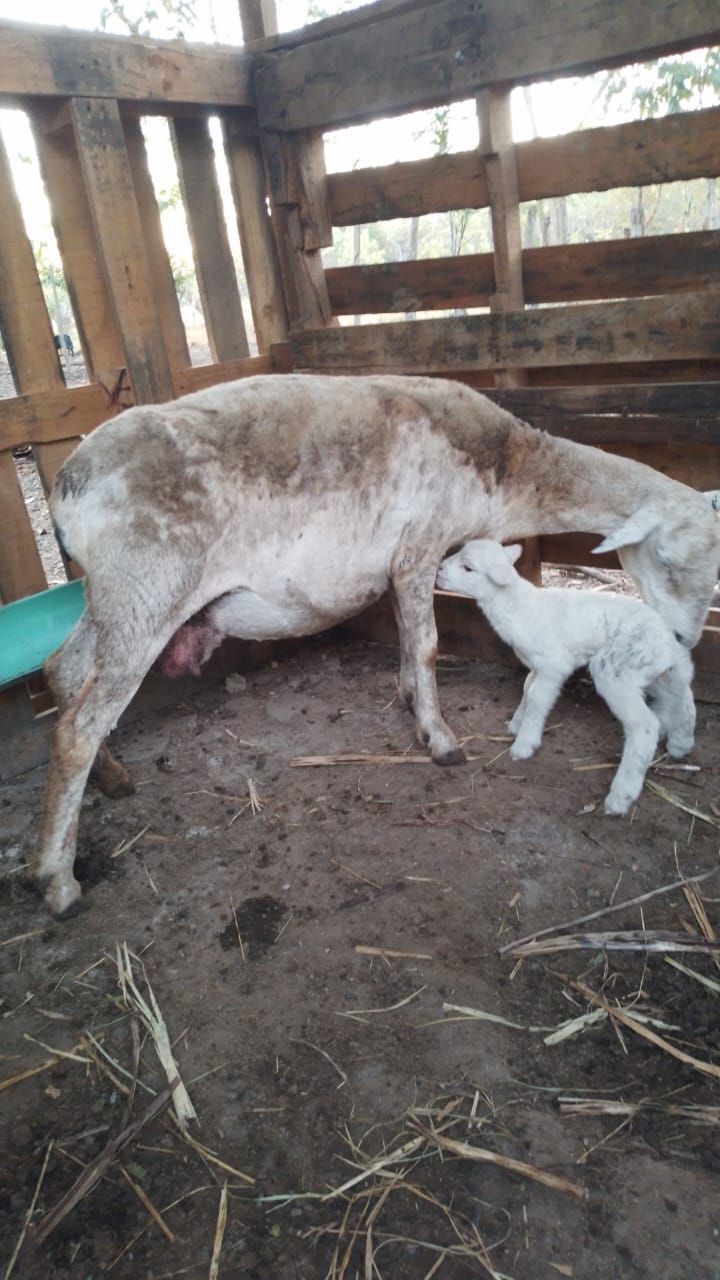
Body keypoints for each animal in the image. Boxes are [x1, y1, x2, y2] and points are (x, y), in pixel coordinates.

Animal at [436, 539, 696, 815]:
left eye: (468, 568)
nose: (439, 570)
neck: (516, 607)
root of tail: (666, 641)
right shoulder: (537, 664)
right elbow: (527, 688)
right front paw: (517, 723)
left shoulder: (554, 664)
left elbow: (537, 698)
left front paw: (524, 743)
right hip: (660, 671)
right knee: (684, 698)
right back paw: (680, 744)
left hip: (617, 670)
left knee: (645, 726)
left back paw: (621, 796)